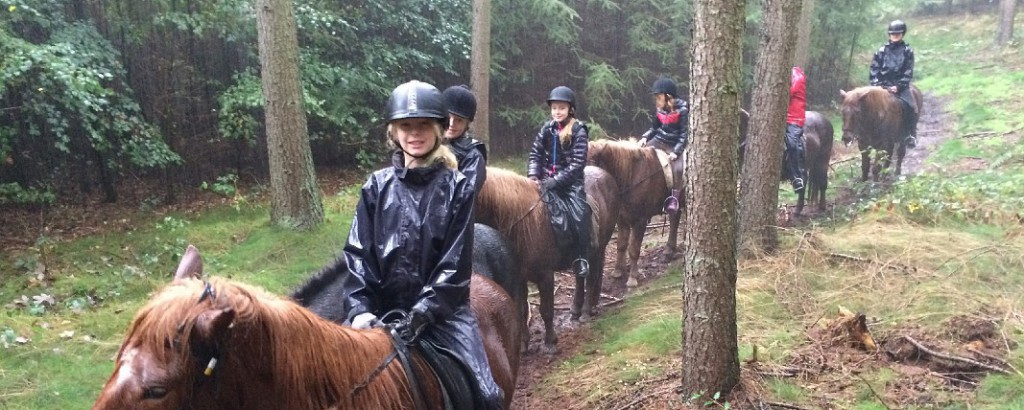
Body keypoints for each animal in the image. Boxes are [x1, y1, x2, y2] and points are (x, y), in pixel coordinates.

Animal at [475, 166, 618, 352]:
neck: (524, 221)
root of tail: (605, 174)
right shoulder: (520, 278)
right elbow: (521, 309)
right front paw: (523, 343)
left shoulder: (545, 275)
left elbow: (546, 310)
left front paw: (550, 342)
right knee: (581, 278)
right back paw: (576, 309)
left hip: (597, 250)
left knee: (593, 277)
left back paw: (586, 312)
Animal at [589, 139, 675, 287]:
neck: (631, 174)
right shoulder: (622, 219)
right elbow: (621, 244)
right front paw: (618, 271)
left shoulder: (640, 221)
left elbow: (634, 249)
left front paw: (632, 278)